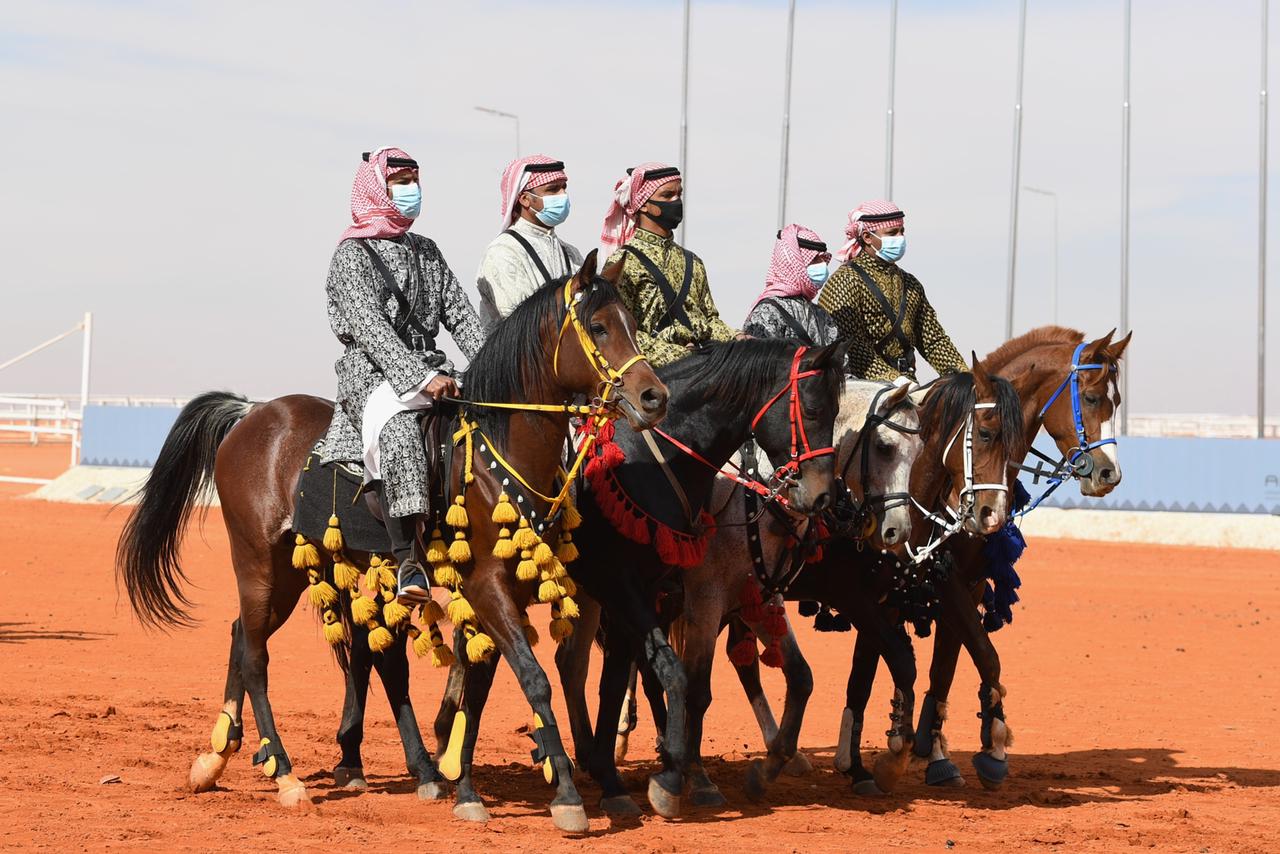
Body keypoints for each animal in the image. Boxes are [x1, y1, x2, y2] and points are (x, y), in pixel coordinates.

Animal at [113, 253, 665, 834]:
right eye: (599, 327)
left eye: (631, 321)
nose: (655, 396)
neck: (497, 453)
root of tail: (252, 413)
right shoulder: (486, 585)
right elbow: (533, 679)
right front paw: (565, 796)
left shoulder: (505, 593)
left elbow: (482, 683)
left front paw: (464, 784)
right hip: (261, 565)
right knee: (257, 656)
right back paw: (284, 773)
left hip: (291, 573)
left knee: (245, 636)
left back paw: (219, 756)